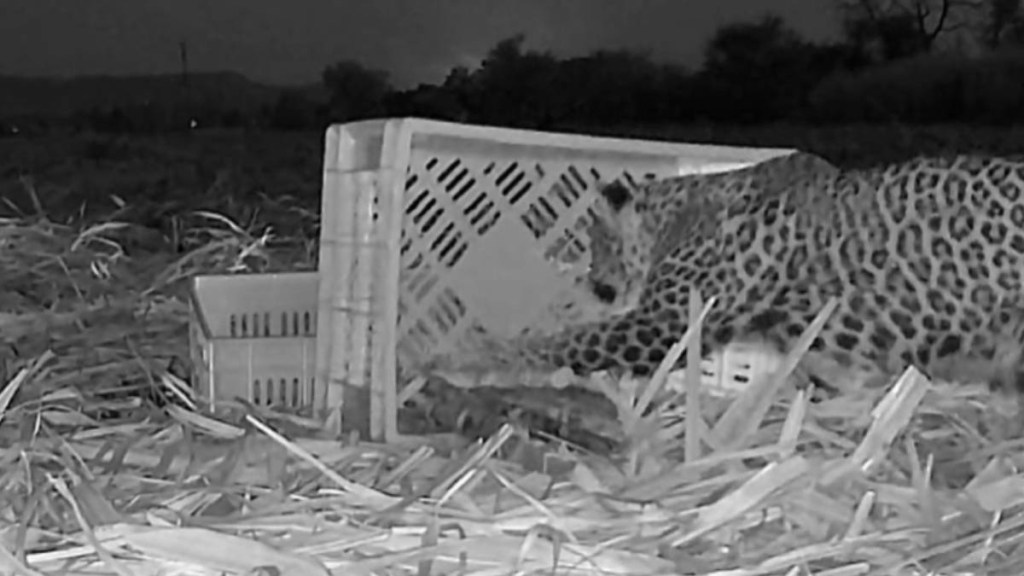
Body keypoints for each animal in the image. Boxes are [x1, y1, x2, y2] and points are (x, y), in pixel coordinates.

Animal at [434, 152, 1024, 413]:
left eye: (596, 239)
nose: (596, 285)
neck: (678, 214)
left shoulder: (665, 323)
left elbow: (566, 343)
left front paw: (466, 357)